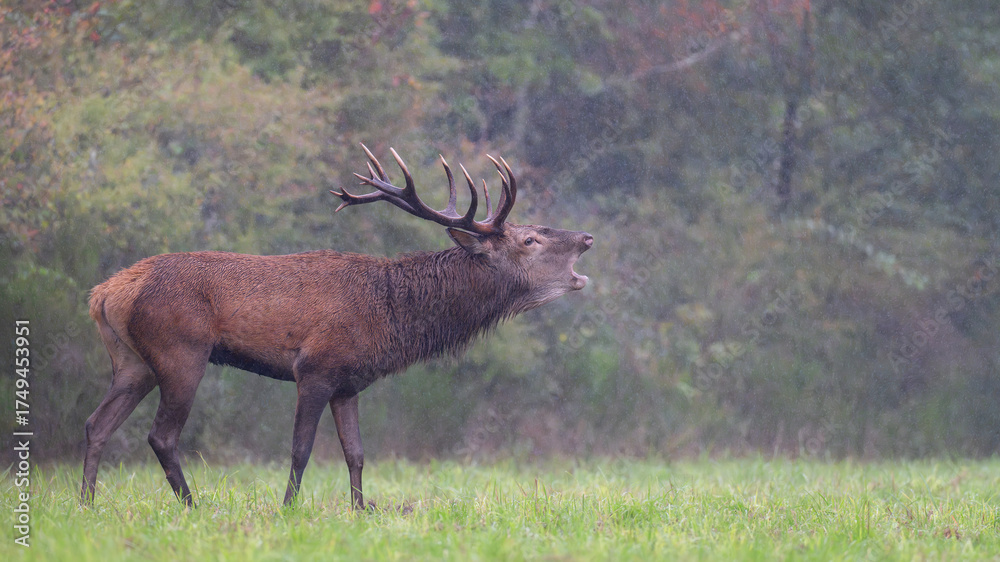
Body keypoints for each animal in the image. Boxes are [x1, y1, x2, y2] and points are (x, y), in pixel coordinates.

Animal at [81, 144, 593, 509]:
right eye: (530, 239)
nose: (587, 237)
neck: (389, 318)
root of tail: (106, 292)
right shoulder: (315, 368)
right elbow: (301, 449)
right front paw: (288, 508)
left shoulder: (349, 383)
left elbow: (356, 452)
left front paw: (361, 508)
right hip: (181, 351)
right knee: (161, 435)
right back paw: (192, 506)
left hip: (132, 362)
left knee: (96, 423)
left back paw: (87, 504)